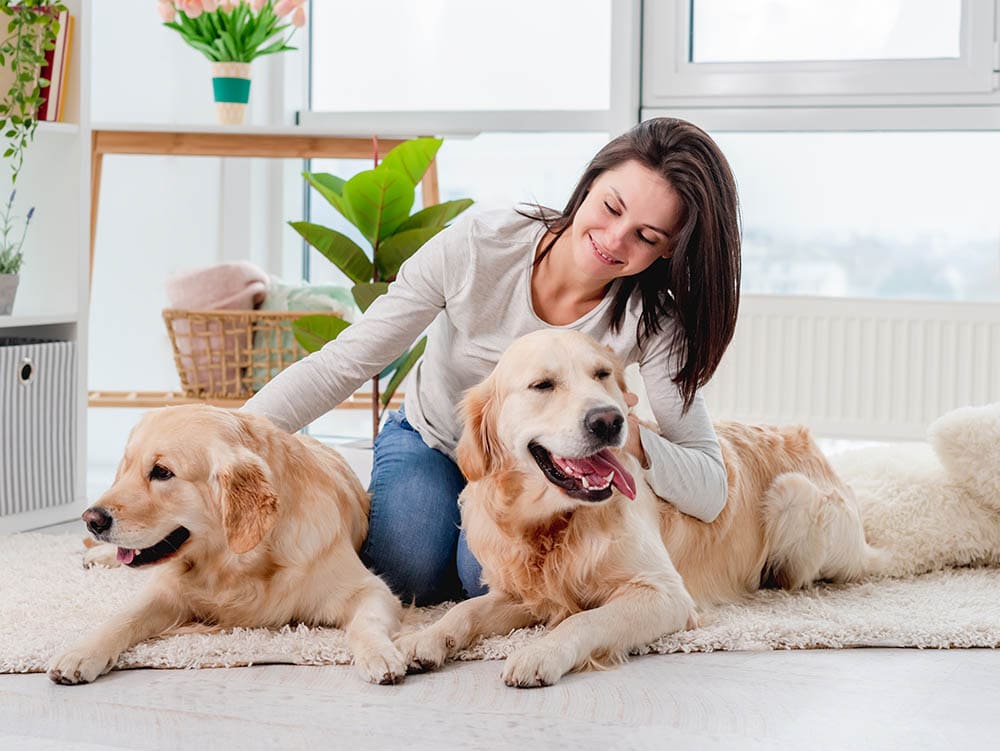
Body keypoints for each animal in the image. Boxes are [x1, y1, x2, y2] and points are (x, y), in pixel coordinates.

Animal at [47, 406, 406, 688]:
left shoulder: (369, 589)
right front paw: (81, 652)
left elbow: (366, 622)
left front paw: (380, 653)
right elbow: (123, 617)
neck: (234, 562)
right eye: (127, 467)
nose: (91, 519)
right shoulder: (166, 591)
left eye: (162, 472)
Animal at [394, 330, 888, 688]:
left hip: (792, 492)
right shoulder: (525, 593)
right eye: (542, 385)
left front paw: (539, 652)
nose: (609, 420)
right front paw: (423, 639)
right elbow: (465, 611)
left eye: (601, 374)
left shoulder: (664, 594)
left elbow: (586, 619)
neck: (556, 524)